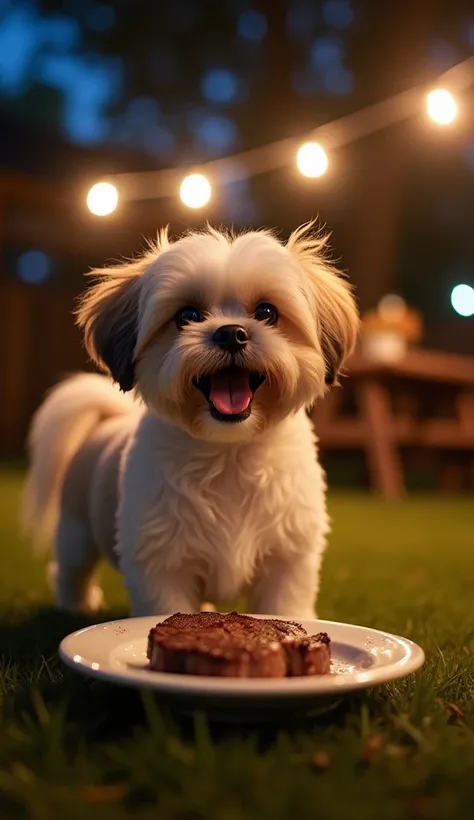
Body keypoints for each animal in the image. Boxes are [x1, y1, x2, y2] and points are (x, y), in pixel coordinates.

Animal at [22, 221, 358, 620]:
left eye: (267, 312)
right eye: (187, 316)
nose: (231, 332)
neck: (229, 455)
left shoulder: (287, 561)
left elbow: (284, 607)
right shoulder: (162, 567)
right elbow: (168, 607)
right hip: (76, 530)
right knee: (69, 569)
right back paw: (76, 606)